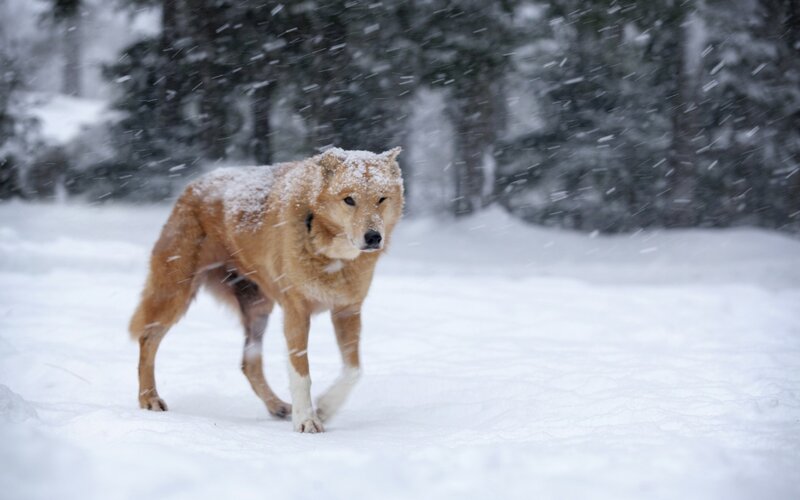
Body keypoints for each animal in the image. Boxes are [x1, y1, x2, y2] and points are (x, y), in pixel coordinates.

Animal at [129, 147, 404, 433]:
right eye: (349, 200)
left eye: (381, 199)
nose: (373, 237)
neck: (330, 253)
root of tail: (194, 184)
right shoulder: (296, 312)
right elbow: (301, 373)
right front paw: (306, 420)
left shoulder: (347, 310)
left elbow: (354, 370)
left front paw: (325, 408)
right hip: (175, 294)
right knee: (147, 339)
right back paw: (149, 398)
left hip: (258, 308)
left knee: (249, 363)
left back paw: (277, 406)